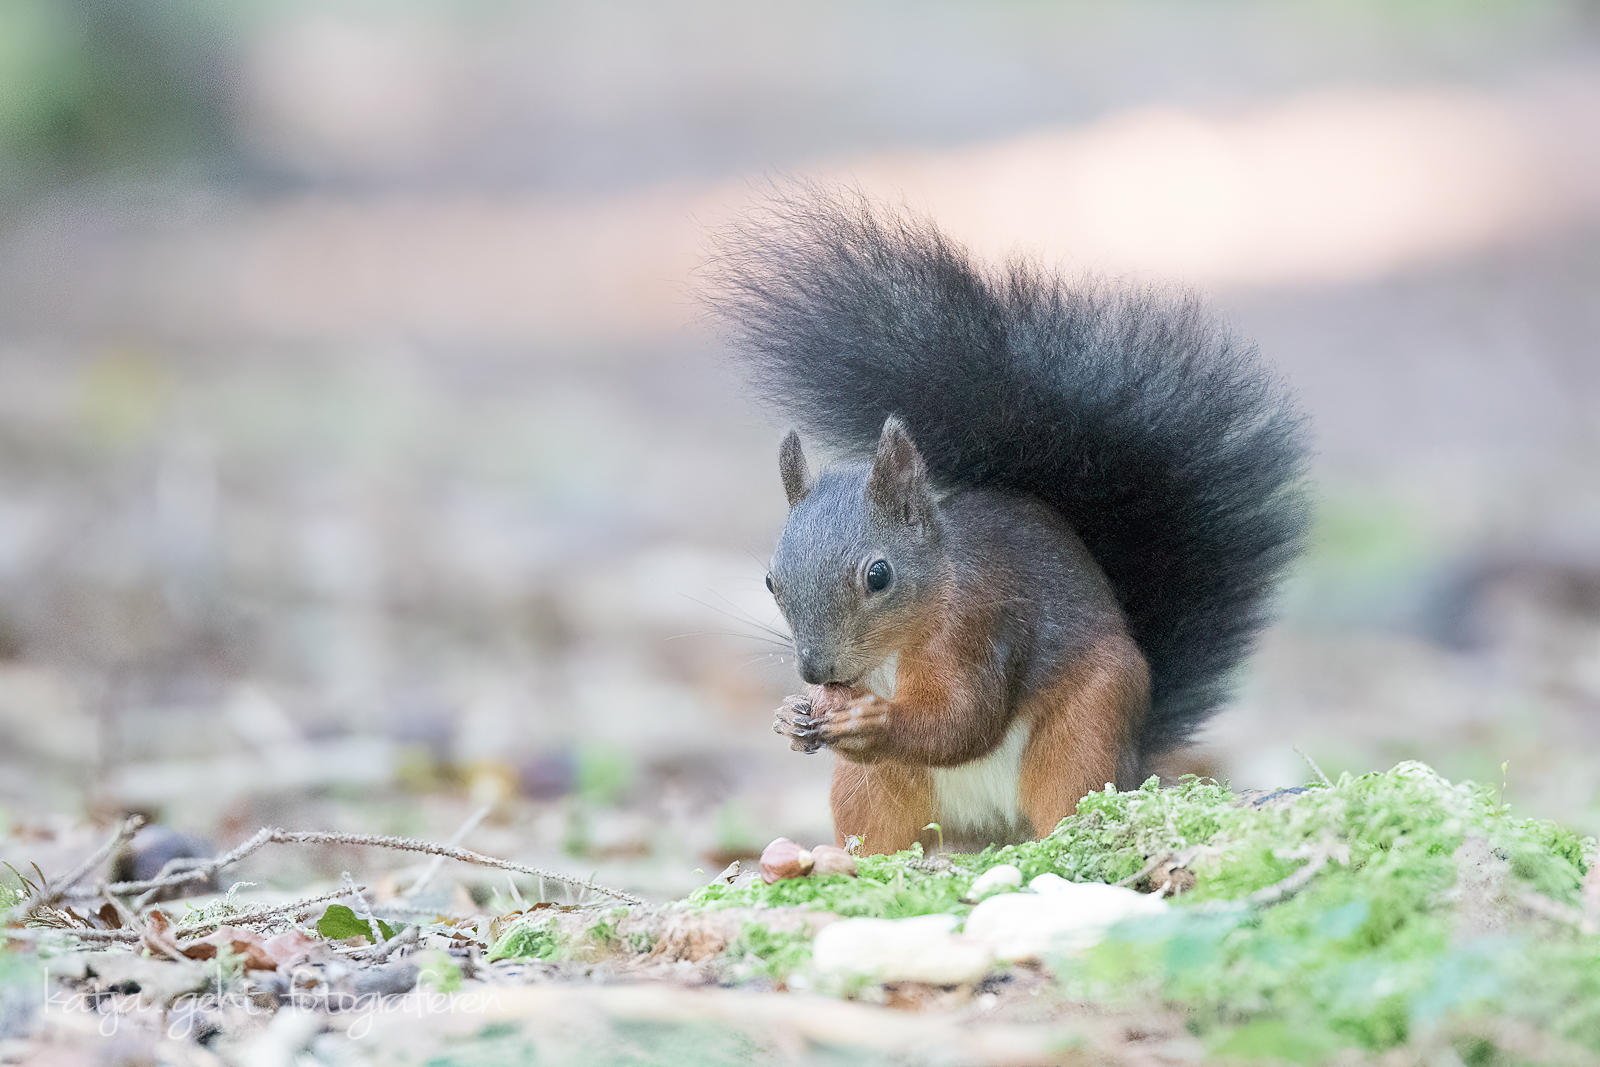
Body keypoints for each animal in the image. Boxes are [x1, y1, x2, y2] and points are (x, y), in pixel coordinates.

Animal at [705, 186, 1312, 855]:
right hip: (875, 791)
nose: (816, 669)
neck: (899, 644)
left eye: (879, 575)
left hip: (1083, 729)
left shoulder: (977, 628)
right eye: (770, 581)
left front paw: (874, 719)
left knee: (1069, 792)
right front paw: (790, 715)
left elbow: (962, 721)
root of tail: (988, 832)